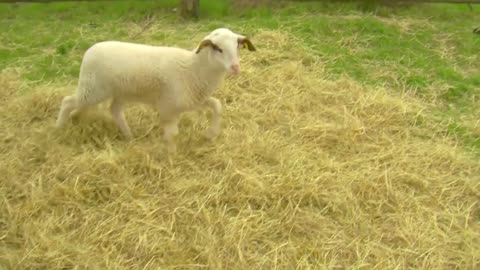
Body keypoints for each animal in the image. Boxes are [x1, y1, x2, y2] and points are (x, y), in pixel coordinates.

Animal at [54, 28, 256, 154]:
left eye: (237, 47)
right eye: (218, 48)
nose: (235, 68)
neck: (194, 68)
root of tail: (89, 51)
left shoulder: (192, 99)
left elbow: (217, 105)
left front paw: (210, 133)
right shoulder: (169, 106)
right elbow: (173, 133)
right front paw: (172, 156)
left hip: (120, 92)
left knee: (115, 110)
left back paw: (129, 136)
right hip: (93, 90)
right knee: (68, 101)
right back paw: (59, 127)